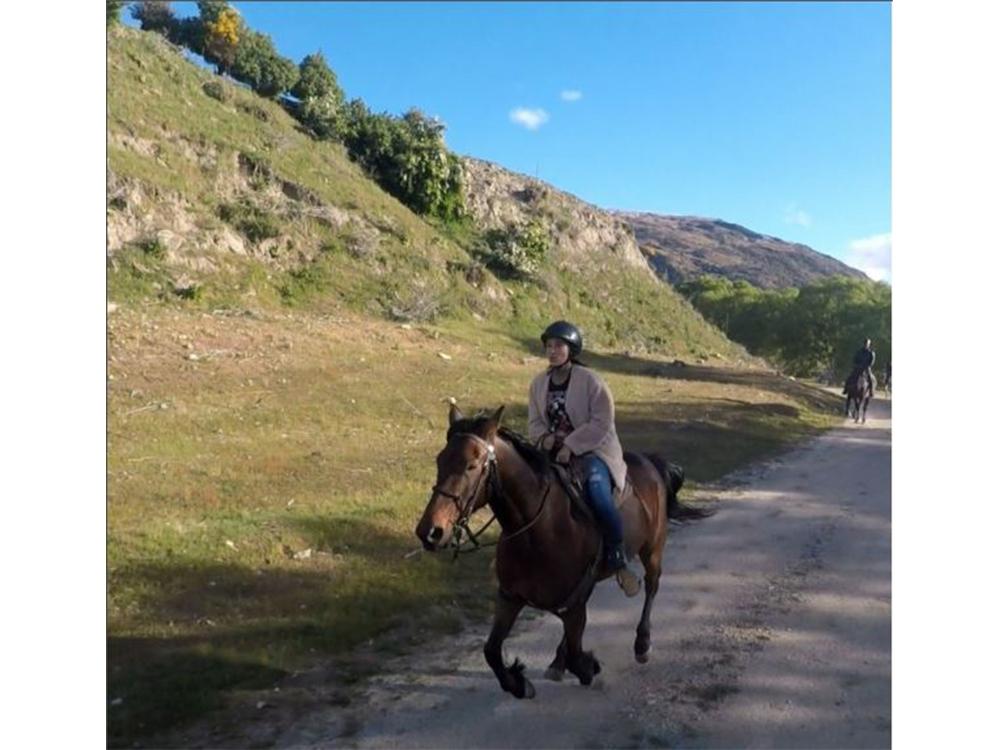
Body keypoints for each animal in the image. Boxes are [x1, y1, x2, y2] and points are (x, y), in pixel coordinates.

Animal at [414, 403, 712, 700]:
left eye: (472, 465)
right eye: (440, 460)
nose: (430, 531)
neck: (539, 529)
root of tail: (650, 461)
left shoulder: (573, 602)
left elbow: (577, 653)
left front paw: (587, 667)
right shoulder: (511, 597)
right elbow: (491, 650)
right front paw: (520, 683)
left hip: (652, 548)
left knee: (652, 586)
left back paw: (642, 644)